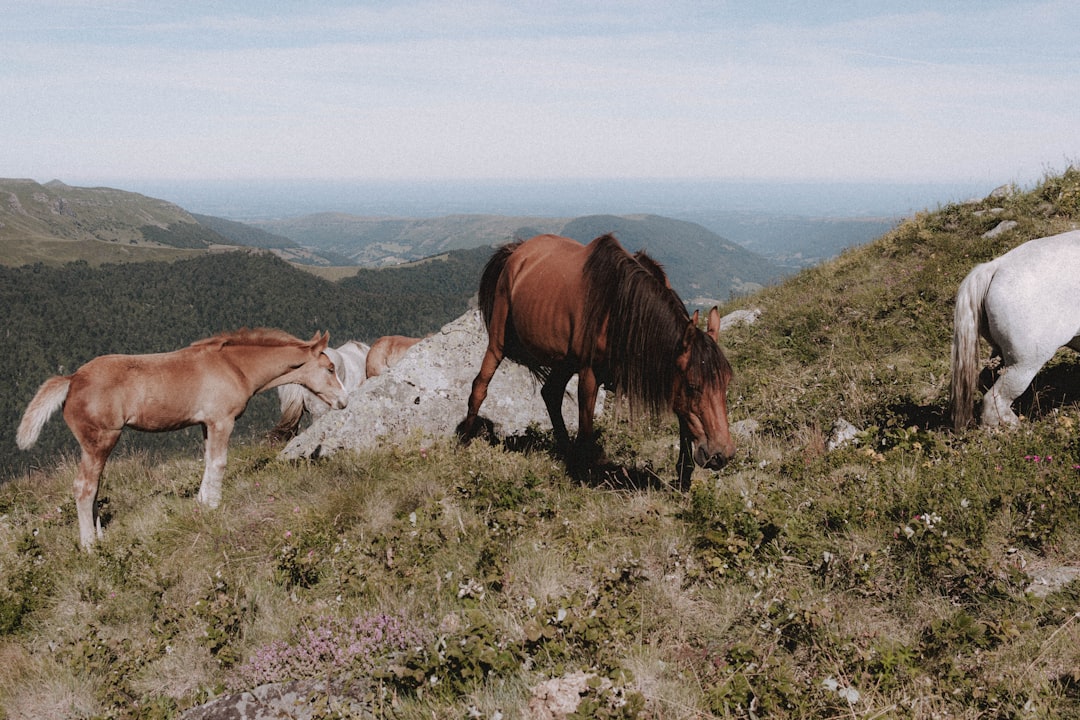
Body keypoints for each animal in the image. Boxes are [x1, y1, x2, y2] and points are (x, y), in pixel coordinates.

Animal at [16, 330, 347, 548]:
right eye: (330, 368)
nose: (344, 401)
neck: (234, 367)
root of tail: (72, 379)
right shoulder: (221, 420)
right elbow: (219, 463)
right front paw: (213, 506)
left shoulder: (205, 424)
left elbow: (208, 462)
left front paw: (201, 503)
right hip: (101, 441)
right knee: (84, 487)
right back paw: (89, 545)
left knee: (93, 487)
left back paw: (98, 535)